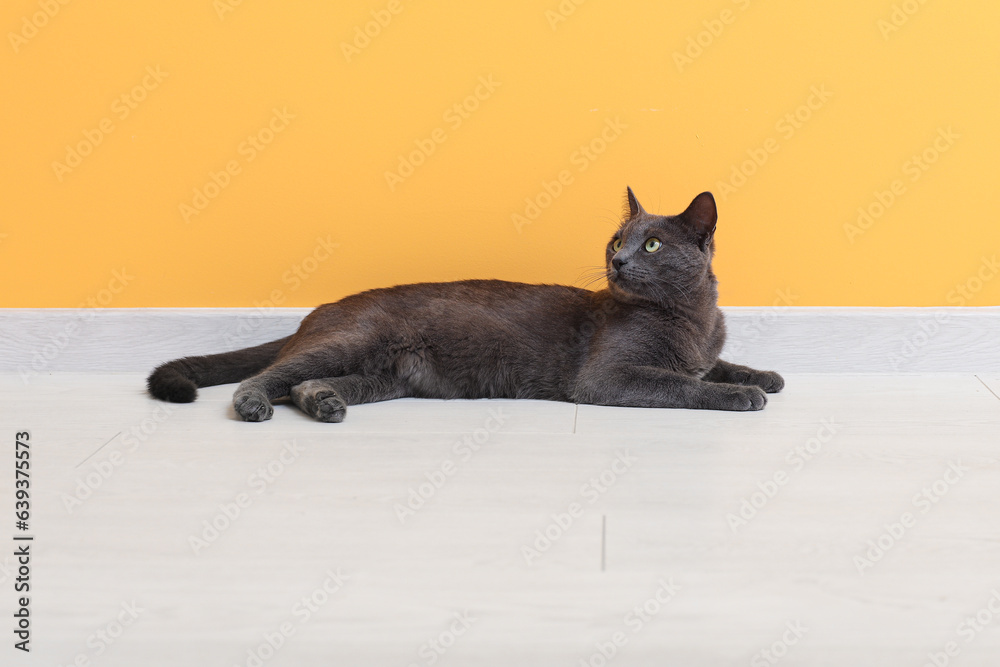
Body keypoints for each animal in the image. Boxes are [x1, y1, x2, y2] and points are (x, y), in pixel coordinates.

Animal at [148, 187, 784, 422]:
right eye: (616, 240)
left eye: (650, 244)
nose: (618, 262)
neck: (692, 318)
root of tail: (321, 310)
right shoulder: (608, 377)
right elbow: (681, 383)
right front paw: (741, 395)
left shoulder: (705, 348)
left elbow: (716, 364)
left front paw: (764, 375)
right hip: (355, 340)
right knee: (268, 374)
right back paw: (256, 404)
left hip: (388, 375)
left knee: (305, 382)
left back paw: (325, 402)